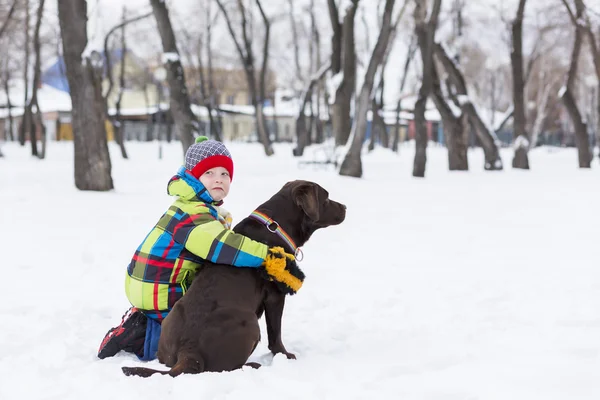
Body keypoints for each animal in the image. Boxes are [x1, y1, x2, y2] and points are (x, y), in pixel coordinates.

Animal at [122, 180, 344, 376]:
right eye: (326, 198)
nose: (345, 207)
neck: (276, 226)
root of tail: (189, 351)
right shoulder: (275, 295)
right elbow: (275, 333)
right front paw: (285, 354)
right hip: (251, 324)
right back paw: (253, 365)